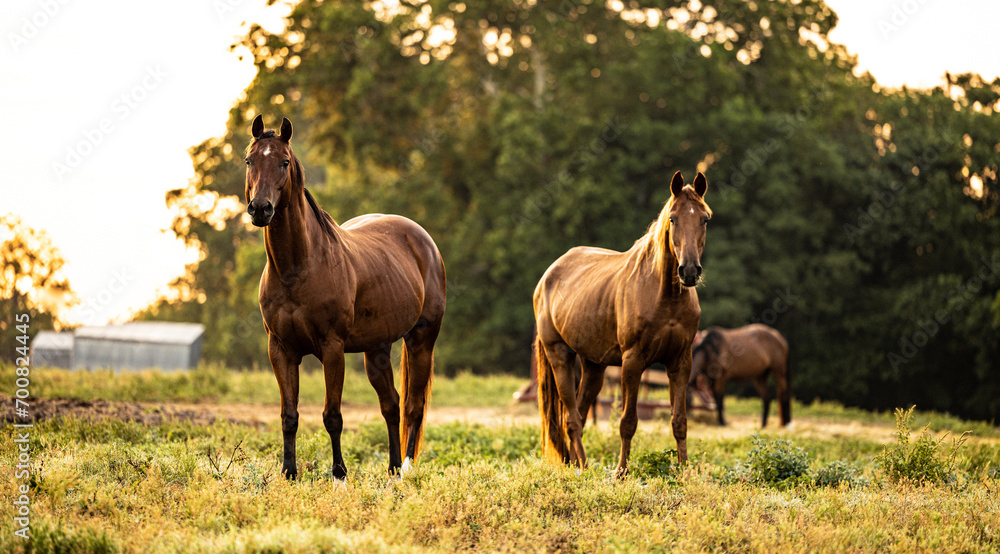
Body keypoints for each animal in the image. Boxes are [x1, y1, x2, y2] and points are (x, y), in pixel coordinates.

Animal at [244, 115, 446, 479]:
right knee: (391, 404)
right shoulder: (280, 350)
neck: (297, 268)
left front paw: (339, 475)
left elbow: (332, 416)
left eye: (284, 162)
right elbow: (289, 415)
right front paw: (289, 474)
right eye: (250, 160)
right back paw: (393, 470)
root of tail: (421, 238)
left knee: (413, 406)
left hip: (421, 338)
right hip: (376, 348)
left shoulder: (332, 348)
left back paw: (407, 468)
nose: (260, 209)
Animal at [534, 171, 711, 476]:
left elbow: (679, 420)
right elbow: (628, 421)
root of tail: (549, 275)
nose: (689, 271)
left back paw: (579, 466)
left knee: (578, 415)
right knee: (572, 418)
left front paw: (683, 472)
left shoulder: (681, 361)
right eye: (673, 218)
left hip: (594, 366)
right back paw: (584, 468)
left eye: (704, 219)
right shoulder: (633, 361)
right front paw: (621, 472)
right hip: (560, 355)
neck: (665, 296)